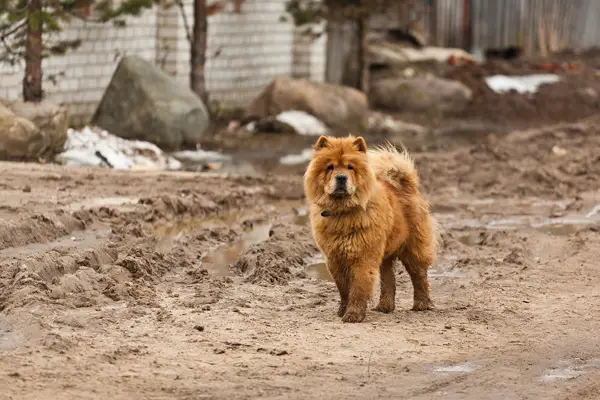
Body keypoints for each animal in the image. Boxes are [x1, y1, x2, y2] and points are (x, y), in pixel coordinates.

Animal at [304, 136, 436, 324]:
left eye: (350, 167)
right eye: (330, 167)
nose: (341, 177)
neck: (342, 212)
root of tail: (407, 186)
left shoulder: (363, 257)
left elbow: (358, 288)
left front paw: (353, 315)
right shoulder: (334, 258)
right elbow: (343, 288)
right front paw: (342, 311)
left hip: (413, 249)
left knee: (419, 277)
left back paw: (421, 304)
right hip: (385, 254)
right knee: (389, 280)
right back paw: (385, 307)